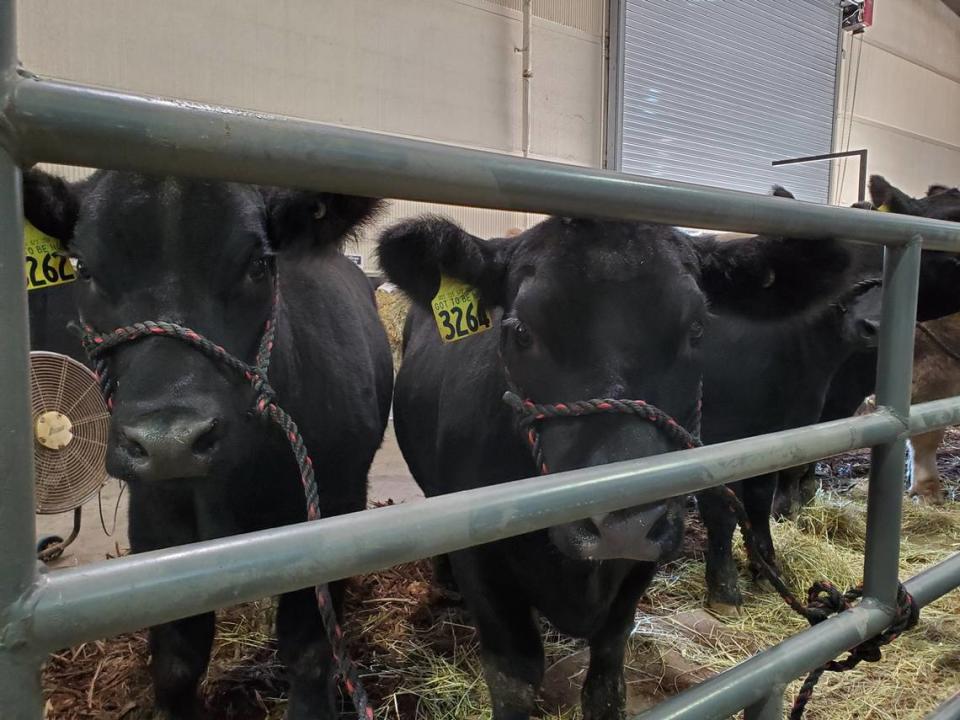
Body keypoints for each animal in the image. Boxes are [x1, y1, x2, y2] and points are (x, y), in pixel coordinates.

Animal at [22, 170, 392, 720]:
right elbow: (177, 660)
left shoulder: (333, 504)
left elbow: (309, 653)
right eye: (82, 268)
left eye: (259, 263)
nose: (170, 440)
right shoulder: (155, 519)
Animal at [378, 217, 852, 720]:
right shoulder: (483, 563)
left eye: (698, 328)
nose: (625, 521)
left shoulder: (647, 554)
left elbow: (608, 661)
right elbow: (514, 678)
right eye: (522, 331)